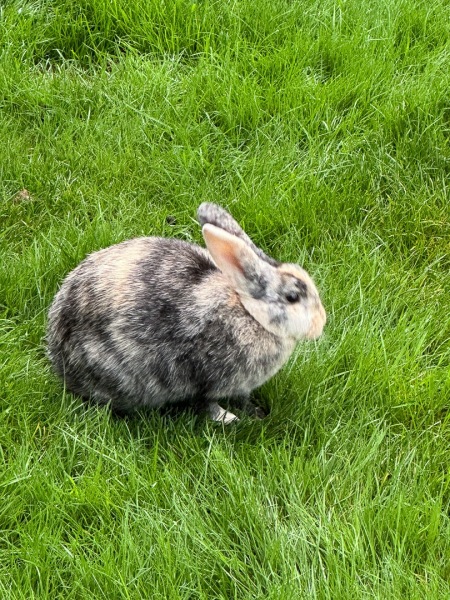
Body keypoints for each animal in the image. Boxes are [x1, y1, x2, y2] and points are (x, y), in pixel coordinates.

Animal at [47, 204, 326, 424]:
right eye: (293, 297)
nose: (321, 323)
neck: (250, 313)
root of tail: (56, 350)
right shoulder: (201, 380)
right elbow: (206, 403)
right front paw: (229, 419)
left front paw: (256, 412)